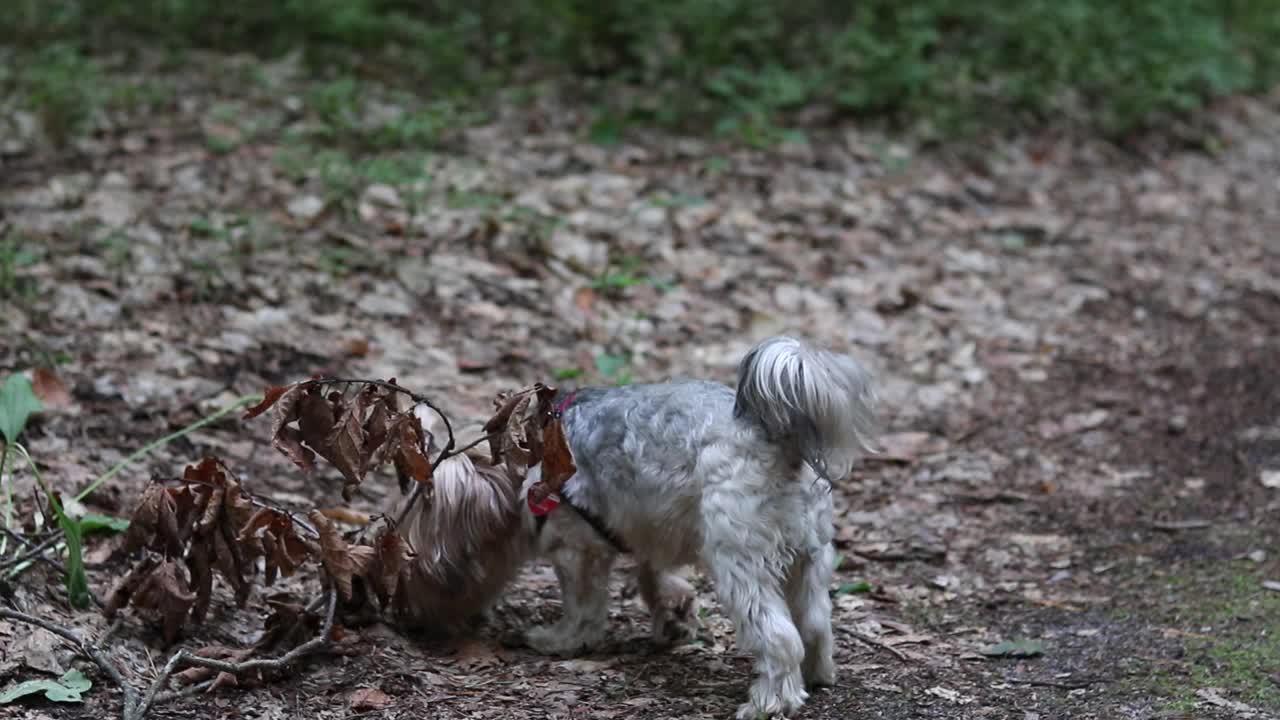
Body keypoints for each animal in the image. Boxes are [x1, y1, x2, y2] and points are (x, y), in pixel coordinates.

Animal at [396, 335, 880, 717]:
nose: (412, 614)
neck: (528, 459)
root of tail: (778, 438)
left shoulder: (577, 550)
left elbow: (583, 606)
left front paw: (562, 639)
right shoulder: (653, 526)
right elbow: (656, 578)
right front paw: (673, 615)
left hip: (740, 561)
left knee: (780, 637)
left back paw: (771, 700)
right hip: (810, 556)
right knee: (815, 623)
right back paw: (817, 674)